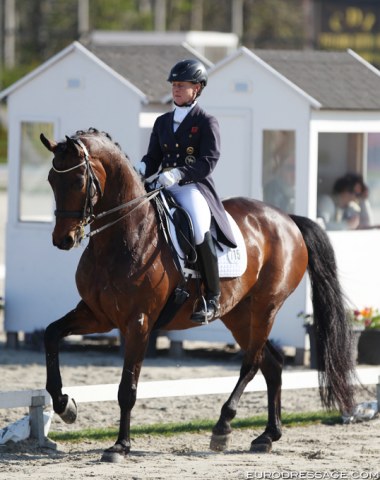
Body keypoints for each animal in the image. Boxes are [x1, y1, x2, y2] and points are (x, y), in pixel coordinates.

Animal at [40, 129, 354, 464]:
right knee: (272, 363)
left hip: (265, 307)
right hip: (238, 314)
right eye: (51, 179)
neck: (123, 236)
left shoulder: (139, 322)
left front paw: (120, 446)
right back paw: (268, 435)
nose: (63, 239)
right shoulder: (97, 315)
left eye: (78, 181)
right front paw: (65, 405)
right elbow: (51, 334)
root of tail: (287, 219)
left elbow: (128, 387)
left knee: (252, 363)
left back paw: (223, 427)